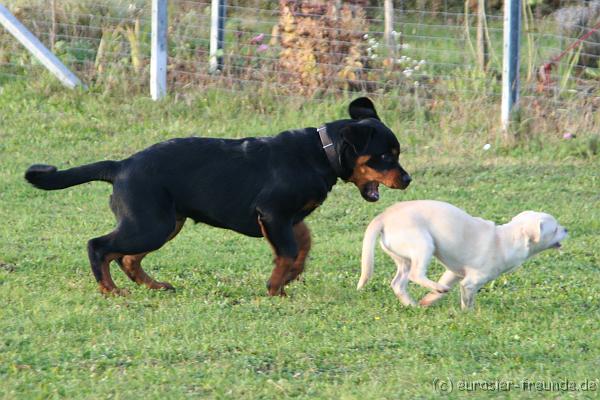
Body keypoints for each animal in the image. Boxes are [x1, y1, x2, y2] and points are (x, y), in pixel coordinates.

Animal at [24, 98, 408, 296]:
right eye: (385, 156)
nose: (407, 179)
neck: (321, 153)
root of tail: (120, 166)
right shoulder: (273, 213)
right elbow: (288, 251)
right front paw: (276, 288)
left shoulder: (287, 218)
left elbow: (301, 247)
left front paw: (288, 278)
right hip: (151, 223)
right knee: (99, 246)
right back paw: (111, 291)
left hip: (165, 222)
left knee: (128, 258)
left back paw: (155, 286)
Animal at [356, 200, 568, 310]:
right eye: (555, 228)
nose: (567, 229)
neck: (505, 238)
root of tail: (383, 216)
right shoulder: (470, 282)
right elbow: (468, 300)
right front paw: (469, 314)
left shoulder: (454, 273)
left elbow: (439, 291)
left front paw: (428, 301)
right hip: (423, 245)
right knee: (416, 274)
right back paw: (437, 288)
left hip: (403, 258)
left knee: (398, 283)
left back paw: (413, 304)